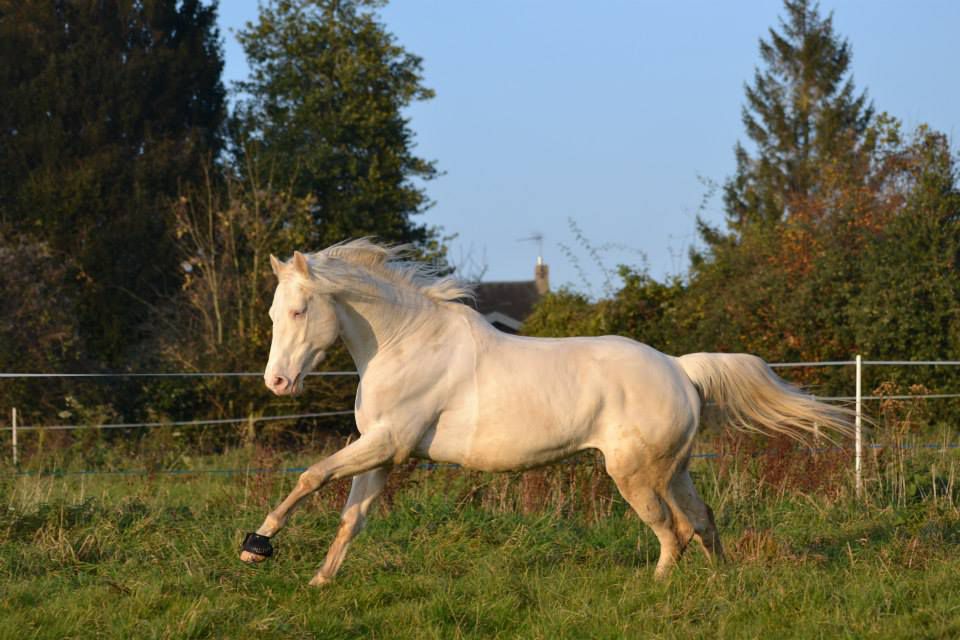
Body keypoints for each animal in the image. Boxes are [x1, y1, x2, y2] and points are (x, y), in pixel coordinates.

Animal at [238, 239, 852, 585]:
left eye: (299, 310)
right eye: (269, 313)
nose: (277, 382)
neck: (407, 342)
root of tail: (680, 369)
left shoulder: (389, 442)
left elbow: (311, 476)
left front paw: (256, 547)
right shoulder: (383, 453)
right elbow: (352, 517)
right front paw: (320, 581)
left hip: (634, 474)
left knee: (672, 531)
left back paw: (655, 589)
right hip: (675, 470)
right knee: (702, 522)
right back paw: (721, 583)